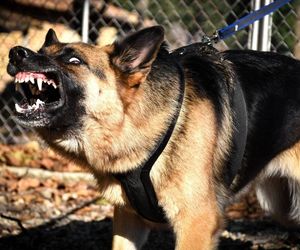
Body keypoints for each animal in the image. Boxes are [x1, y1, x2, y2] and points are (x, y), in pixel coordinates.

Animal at [7, 26, 300, 249]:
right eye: (42, 52)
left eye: (74, 61)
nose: (16, 53)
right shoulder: (128, 221)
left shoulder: (196, 224)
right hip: (281, 206)